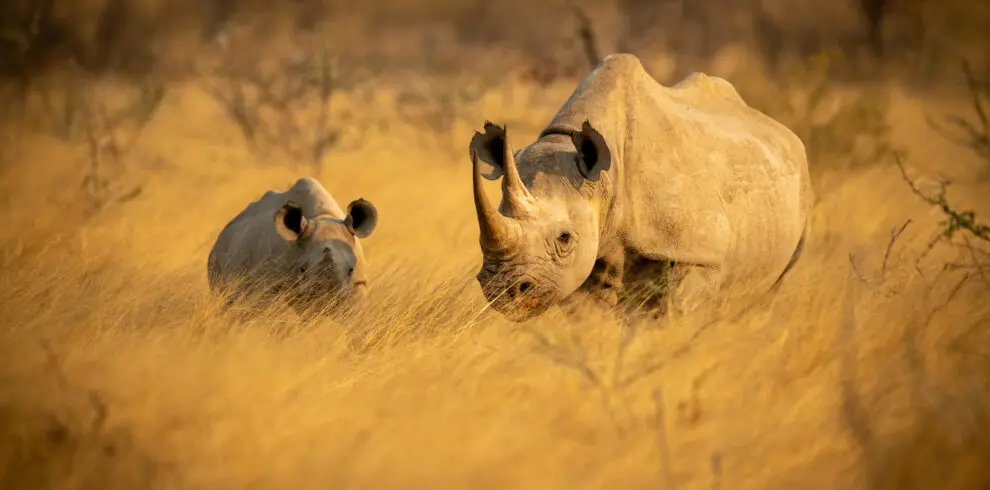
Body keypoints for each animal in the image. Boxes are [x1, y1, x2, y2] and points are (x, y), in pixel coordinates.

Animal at [207, 177, 378, 312]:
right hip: (217, 258)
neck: (322, 216)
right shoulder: (269, 285)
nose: (326, 301)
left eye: (351, 270)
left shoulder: (357, 285)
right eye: (302, 269)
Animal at [468, 53, 813, 322]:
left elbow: (672, 316)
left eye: (565, 239)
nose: (501, 292)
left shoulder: (700, 254)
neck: (604, 179)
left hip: (801, 183)